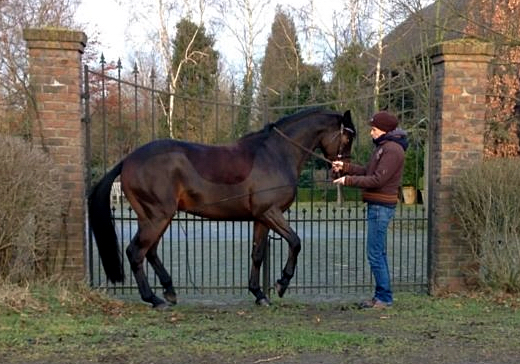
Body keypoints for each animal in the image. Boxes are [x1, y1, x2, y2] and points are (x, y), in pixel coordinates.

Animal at [90, 108, 358, 308]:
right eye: (348, 137)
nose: (340, 171)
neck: (275, 154)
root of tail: (128, 160)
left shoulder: (261, 218)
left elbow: (257, 254)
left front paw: (259, 294)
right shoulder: (270, 212)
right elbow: (295, 242)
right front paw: (281, 283)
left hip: (155, 218)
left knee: (150, 252)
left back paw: (169, 290)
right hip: (157, 217)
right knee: (136, 252)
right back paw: (154, 299)